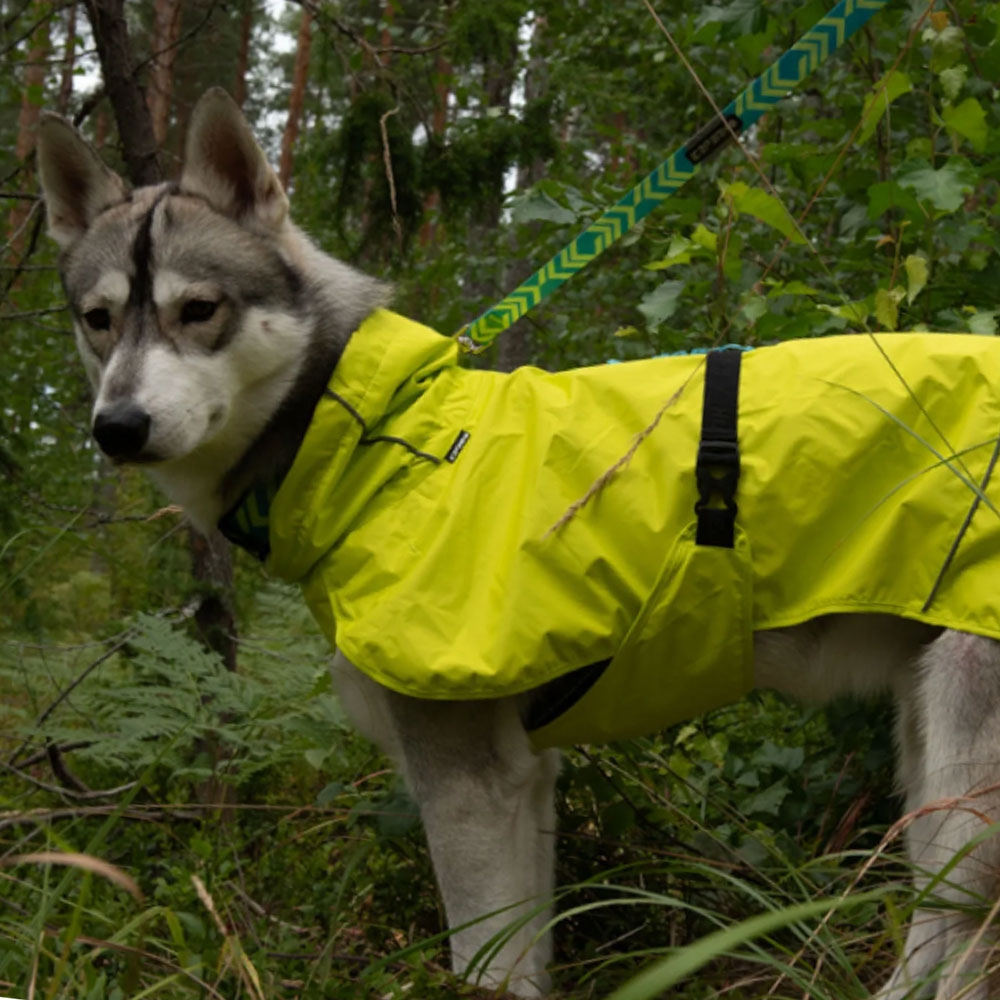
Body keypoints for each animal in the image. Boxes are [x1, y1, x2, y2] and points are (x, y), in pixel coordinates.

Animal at [35, 90, 1000, 996]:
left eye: (199, 309)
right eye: (97, 319)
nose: (116, 427)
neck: (372, 434)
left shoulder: (469, 783)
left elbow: (482, 964)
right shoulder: (528, 780)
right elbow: (522, 957)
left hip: (969, 770)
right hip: (927, 754)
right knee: (931, 925)